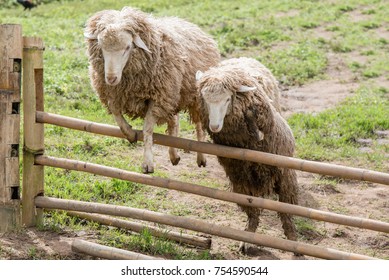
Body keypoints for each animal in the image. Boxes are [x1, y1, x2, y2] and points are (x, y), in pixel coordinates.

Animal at [83, 6, 220, 173]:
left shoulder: (157, 99)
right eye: (101, 47)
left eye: (128, 47)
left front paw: (148, 163)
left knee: (199, 125)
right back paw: (174, 155)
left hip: (192, 96)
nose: (111, 78)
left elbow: (147, 129)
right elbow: (115, 112)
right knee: (174, 122)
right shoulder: (115, 94)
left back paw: (201, 157)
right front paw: (129, 133)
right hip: (173, 95)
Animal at [196, 57, 298, 254]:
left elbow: (286, 211)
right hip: (243, 181)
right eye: (204, 99)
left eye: (228, 98)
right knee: (252, 208)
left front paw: (292, 239)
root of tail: (242, 58)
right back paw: (247, 238)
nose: (214, 126)